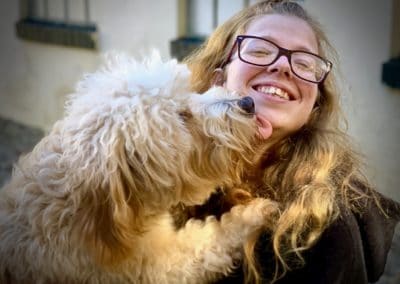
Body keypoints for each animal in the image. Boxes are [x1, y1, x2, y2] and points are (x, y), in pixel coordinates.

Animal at [0, 52, 276, 282]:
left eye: (190, 92)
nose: (248, 103)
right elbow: (208, 244)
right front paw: (253, 214)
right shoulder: (153, 267)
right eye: (182, 117)